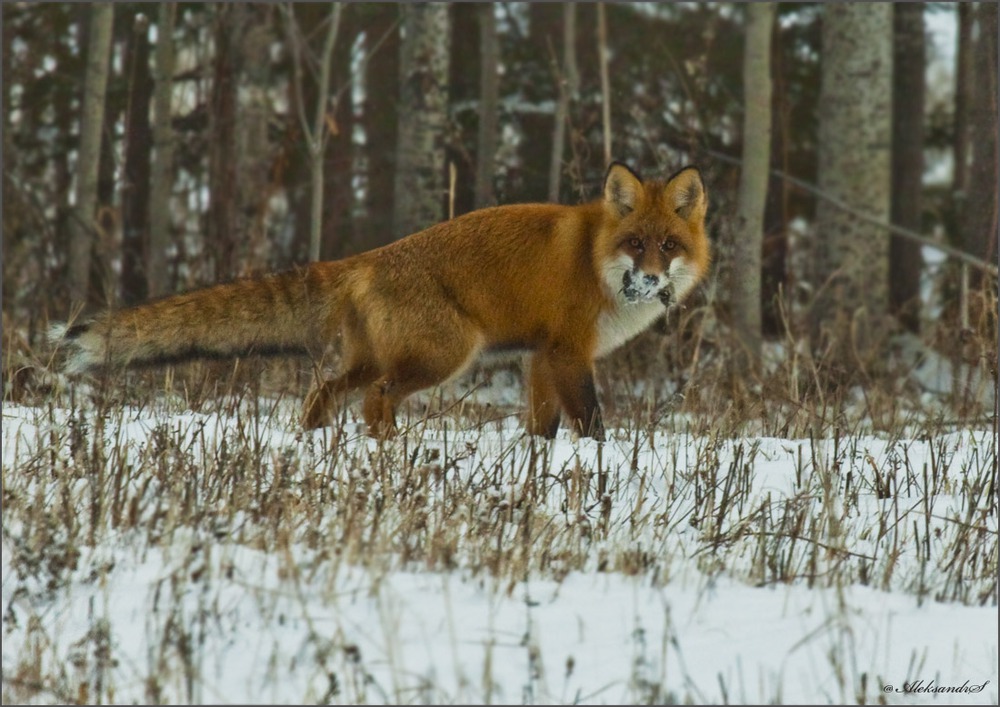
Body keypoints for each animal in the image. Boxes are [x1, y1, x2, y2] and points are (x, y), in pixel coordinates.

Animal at [52, 165, 712, 442]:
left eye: (669, 246)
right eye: (635, 244)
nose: (649, 280)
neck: (596, 263)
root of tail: (366, 257)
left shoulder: (540, 356)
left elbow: (544, 424)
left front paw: (540, 460)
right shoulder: (568, 352)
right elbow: (593, 421)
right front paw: (602, 461)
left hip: (378, 357)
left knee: (324, 391)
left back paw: (317, 443)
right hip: (442, 357)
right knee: (376, 398)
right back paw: (388, 450)